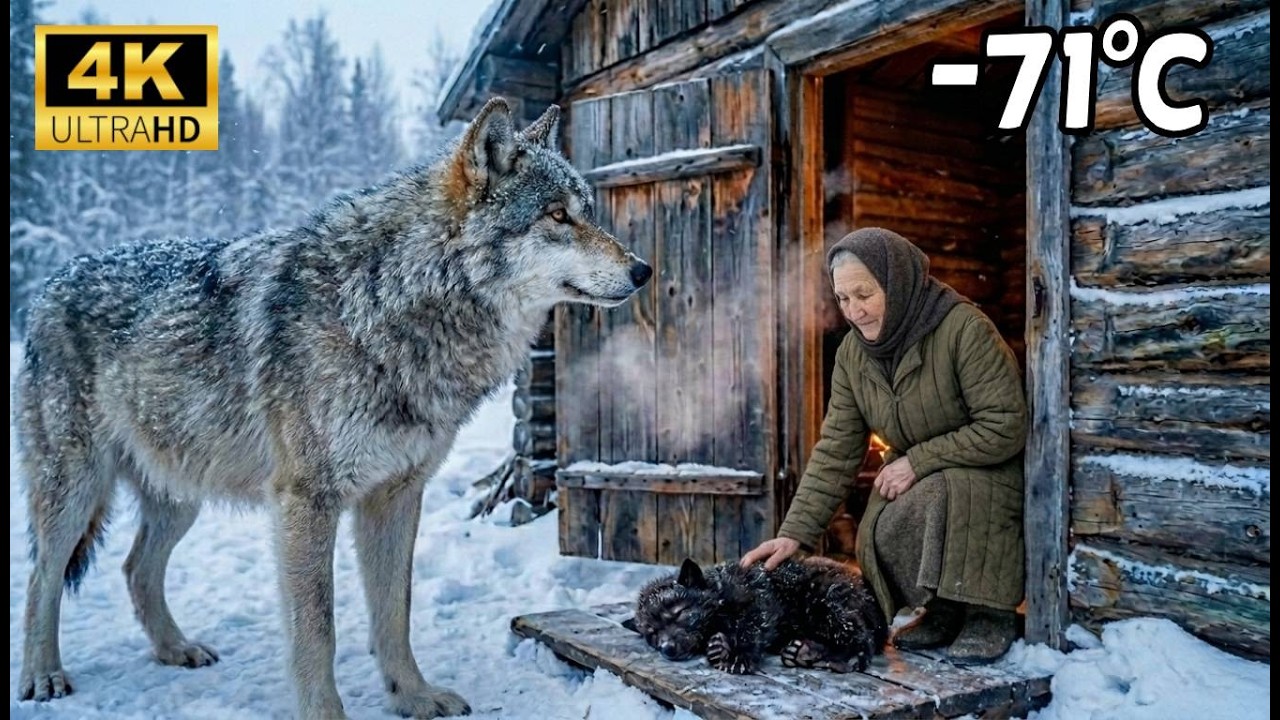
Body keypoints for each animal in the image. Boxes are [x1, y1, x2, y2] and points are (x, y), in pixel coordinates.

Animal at [15, 97, 651, 719]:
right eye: (557, 216)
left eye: (586, 210)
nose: (643, 270)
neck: (386, 301)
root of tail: (49, 284)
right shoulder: (306, 501)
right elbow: (318, 630)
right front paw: (326, 712)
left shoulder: (396, 495)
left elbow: (395, 613)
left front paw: (414, 697)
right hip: (75, 490)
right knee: (43, 576)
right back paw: (44, 676)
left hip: (180, 496)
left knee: (134, 568)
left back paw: (176, 649)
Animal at [627, 557, 888, 674]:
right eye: (653, 634)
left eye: (678, 612)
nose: (667, 648)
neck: (720, 591)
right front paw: (718, 647)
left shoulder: (761, 600)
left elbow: (750, 627)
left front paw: (740, 655)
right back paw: (806, 652)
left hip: (824, 603)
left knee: (863, 641)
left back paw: (844, 658)